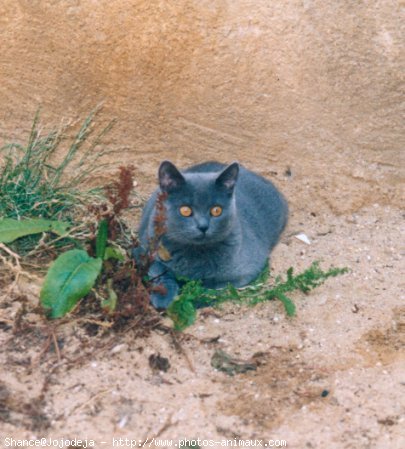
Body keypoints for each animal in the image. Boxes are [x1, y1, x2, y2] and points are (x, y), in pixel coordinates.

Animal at [136, 160, 288, 308]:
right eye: (185, 210)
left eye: (216, 210)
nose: (203, 226)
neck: (194, 253)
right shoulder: (144, 248)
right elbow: (159, 271)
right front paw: (163, 297)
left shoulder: (245, 272)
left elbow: (211, 286)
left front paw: (192, 298)